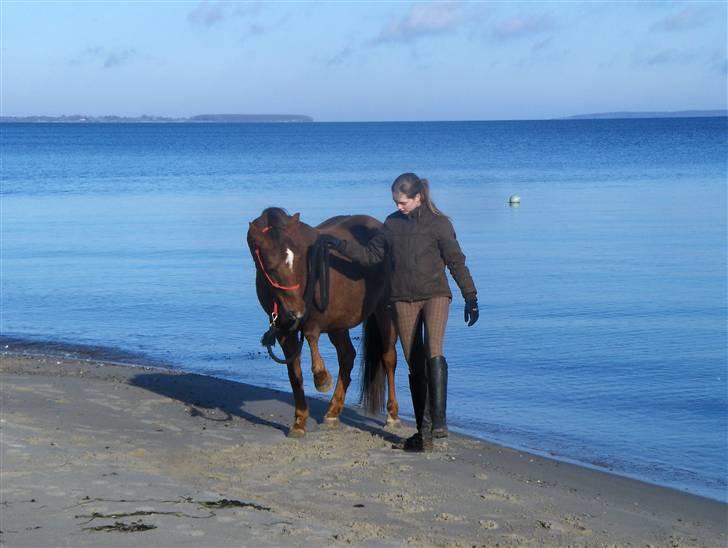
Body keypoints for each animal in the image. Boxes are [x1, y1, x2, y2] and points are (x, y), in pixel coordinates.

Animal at [249, 206, 398, 436]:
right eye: (271, 268)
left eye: (300, 260)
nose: (296, 311)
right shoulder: (283, 328)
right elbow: (295, 374)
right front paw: (299, 421)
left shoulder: (314, 319)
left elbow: (311, 338)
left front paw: (321, 379)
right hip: (340, 323)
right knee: (347, 355)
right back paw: (333, 411)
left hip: (385, 308)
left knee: (389, 357)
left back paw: (392, 415)